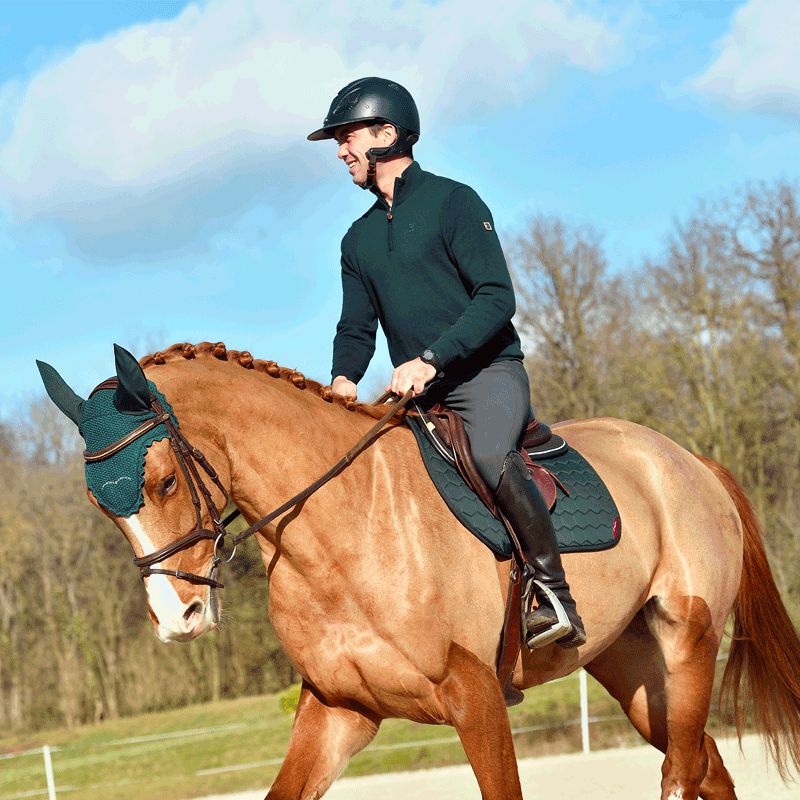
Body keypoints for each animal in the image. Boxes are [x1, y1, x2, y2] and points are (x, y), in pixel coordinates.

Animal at [37, 340, 800, 800]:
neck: (338, 534)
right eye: (98, 506)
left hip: (688, 642)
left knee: (683, 769)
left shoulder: (475, 697)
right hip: (634, 669)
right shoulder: (339, 708)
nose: (179, 618)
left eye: (164, 481)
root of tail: (685, 458)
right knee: (706, 766)